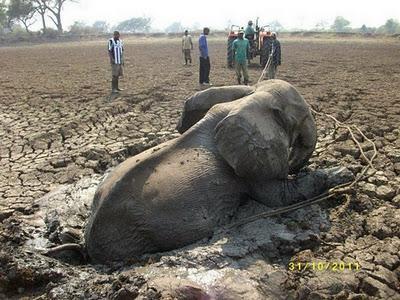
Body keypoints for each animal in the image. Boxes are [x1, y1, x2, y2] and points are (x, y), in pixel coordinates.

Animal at [83, 80, 350, 264]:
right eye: (302, 119)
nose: (293, 163)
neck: (249, 98)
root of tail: (87, 244)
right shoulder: (246, 165)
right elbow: (280, 198)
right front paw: (343, 172)